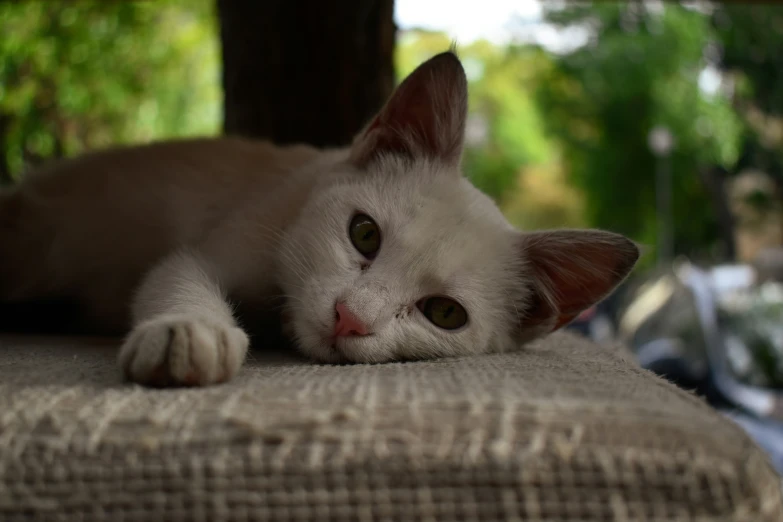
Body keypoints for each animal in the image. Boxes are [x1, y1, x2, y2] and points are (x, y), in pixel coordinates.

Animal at [0, 51, 636, 386]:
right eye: (364, 233)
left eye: (444, 313)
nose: (349, 318)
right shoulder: (220, 240)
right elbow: (178, 274)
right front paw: (187, 332)